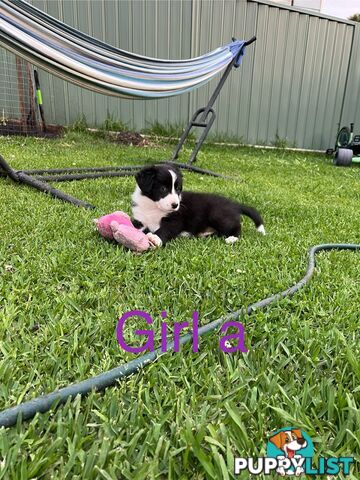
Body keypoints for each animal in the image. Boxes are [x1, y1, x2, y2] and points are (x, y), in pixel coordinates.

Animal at [131, 165, 264, 248]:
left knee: (236, 227)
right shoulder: (140, 220)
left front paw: (155, 238)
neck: (153, 206)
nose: (175, 205)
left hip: (218, 215)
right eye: (163, 188)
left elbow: (165, 229)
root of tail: (234, 204)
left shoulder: (175, 220)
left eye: (178, 189)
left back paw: (232, 238)